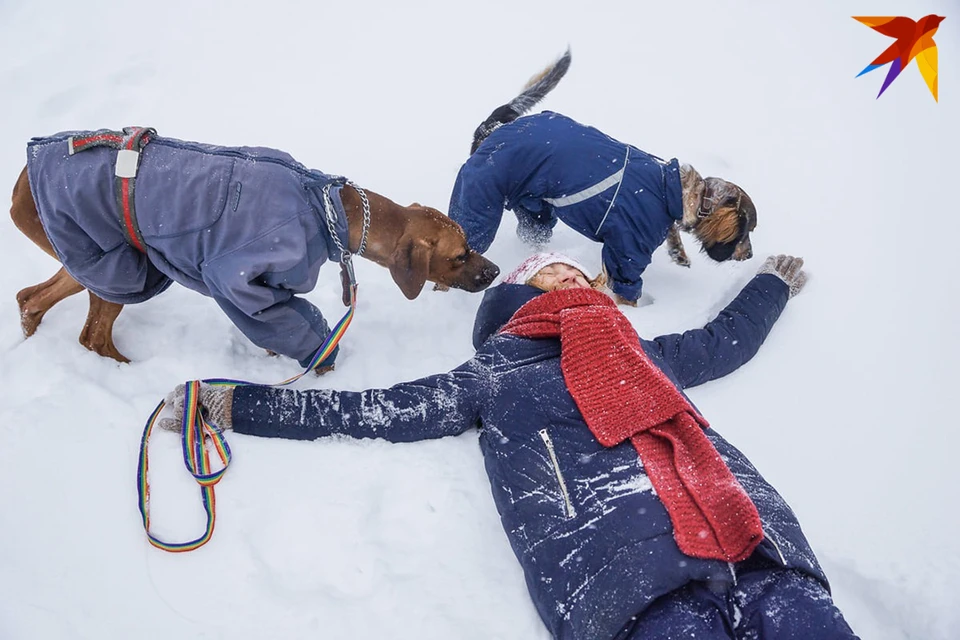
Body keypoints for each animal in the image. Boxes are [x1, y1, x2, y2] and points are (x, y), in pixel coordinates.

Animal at [11, 129, 498, 364]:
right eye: (460, 255)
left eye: (470, 247)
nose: (494, 272)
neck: (330, 209)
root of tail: (23, 174)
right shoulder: (241, 282)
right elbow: (293, 330)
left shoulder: (274, 289)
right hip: (117, 267)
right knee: (92, 336)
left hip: (90, 258)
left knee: (30, 298)